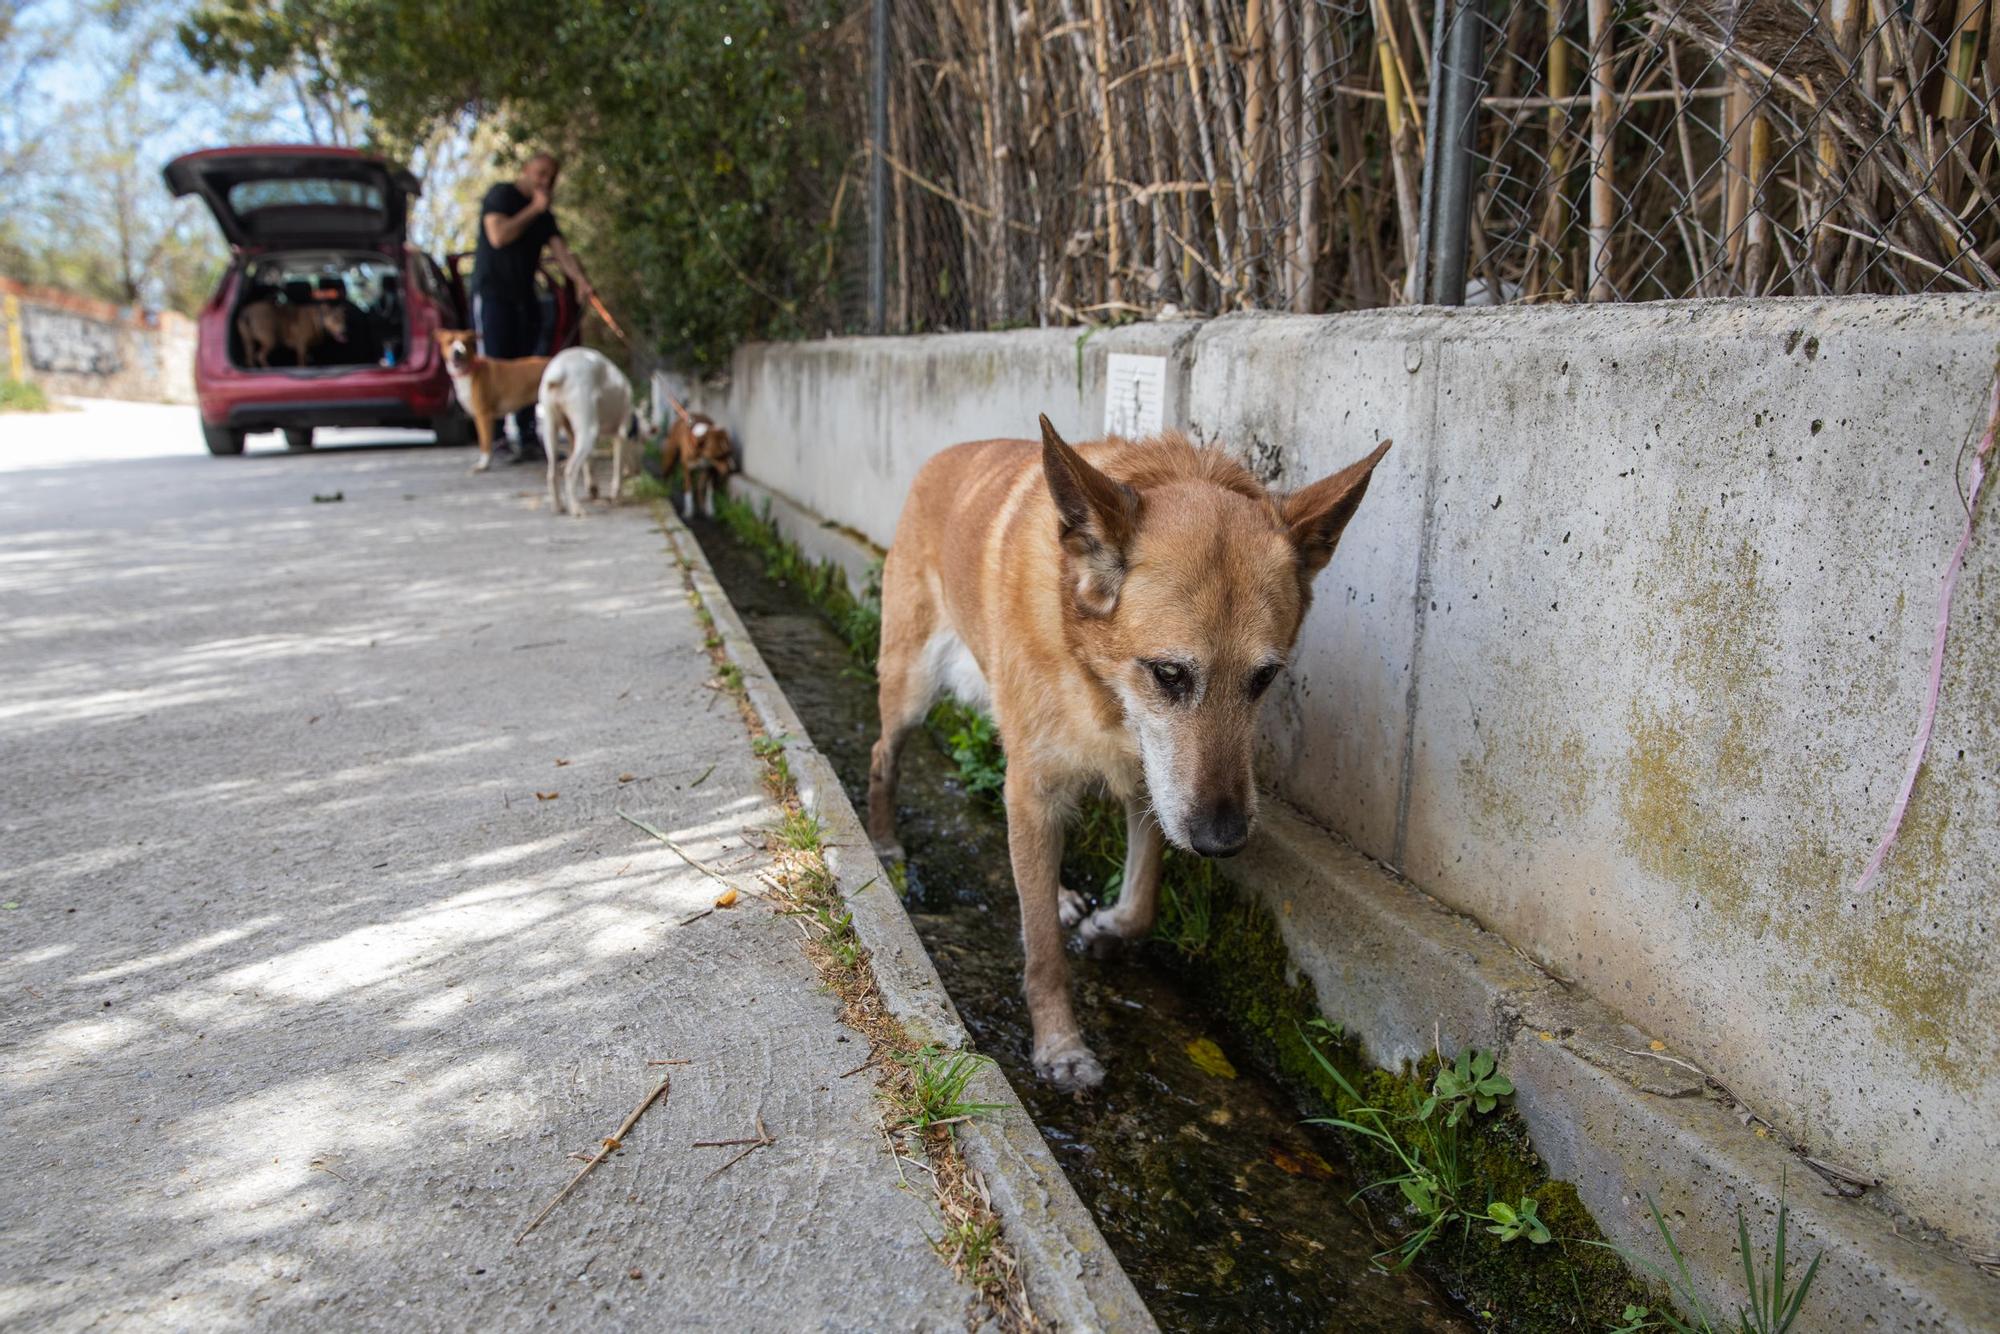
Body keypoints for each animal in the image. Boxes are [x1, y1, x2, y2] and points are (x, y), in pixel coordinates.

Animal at [436, 330, 552, 472]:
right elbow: (485, 441)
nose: (458, 352)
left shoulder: (483, 415)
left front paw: (483, 464)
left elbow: (485, 442)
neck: (469, 371)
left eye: (465, 342)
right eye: (450, 341)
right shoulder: (480, 417)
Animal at [536, 348, 628, 520]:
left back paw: (558, 506)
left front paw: (593, 488)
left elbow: (590, 463)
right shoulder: (620, 434)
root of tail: (560, 371)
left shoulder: (574, 435)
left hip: (551, 429)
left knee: (552, 473)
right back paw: (576, 509)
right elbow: (617, 467)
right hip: (588, 431)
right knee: (570, 471)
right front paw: (616, 495)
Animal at [868, 420, 1400, 1096]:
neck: (1097, 672)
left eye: (1264, 678)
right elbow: (1044, 952)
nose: (1224, 842)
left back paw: (1058, 893)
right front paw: (1060, 1045)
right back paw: (884, 840)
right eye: (1169, 673)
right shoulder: (1040, 784)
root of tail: (944, 454)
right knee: (883, 753)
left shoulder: (1153, 783)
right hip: (910, 688)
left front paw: (1110, 927)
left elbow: (1144, 894)